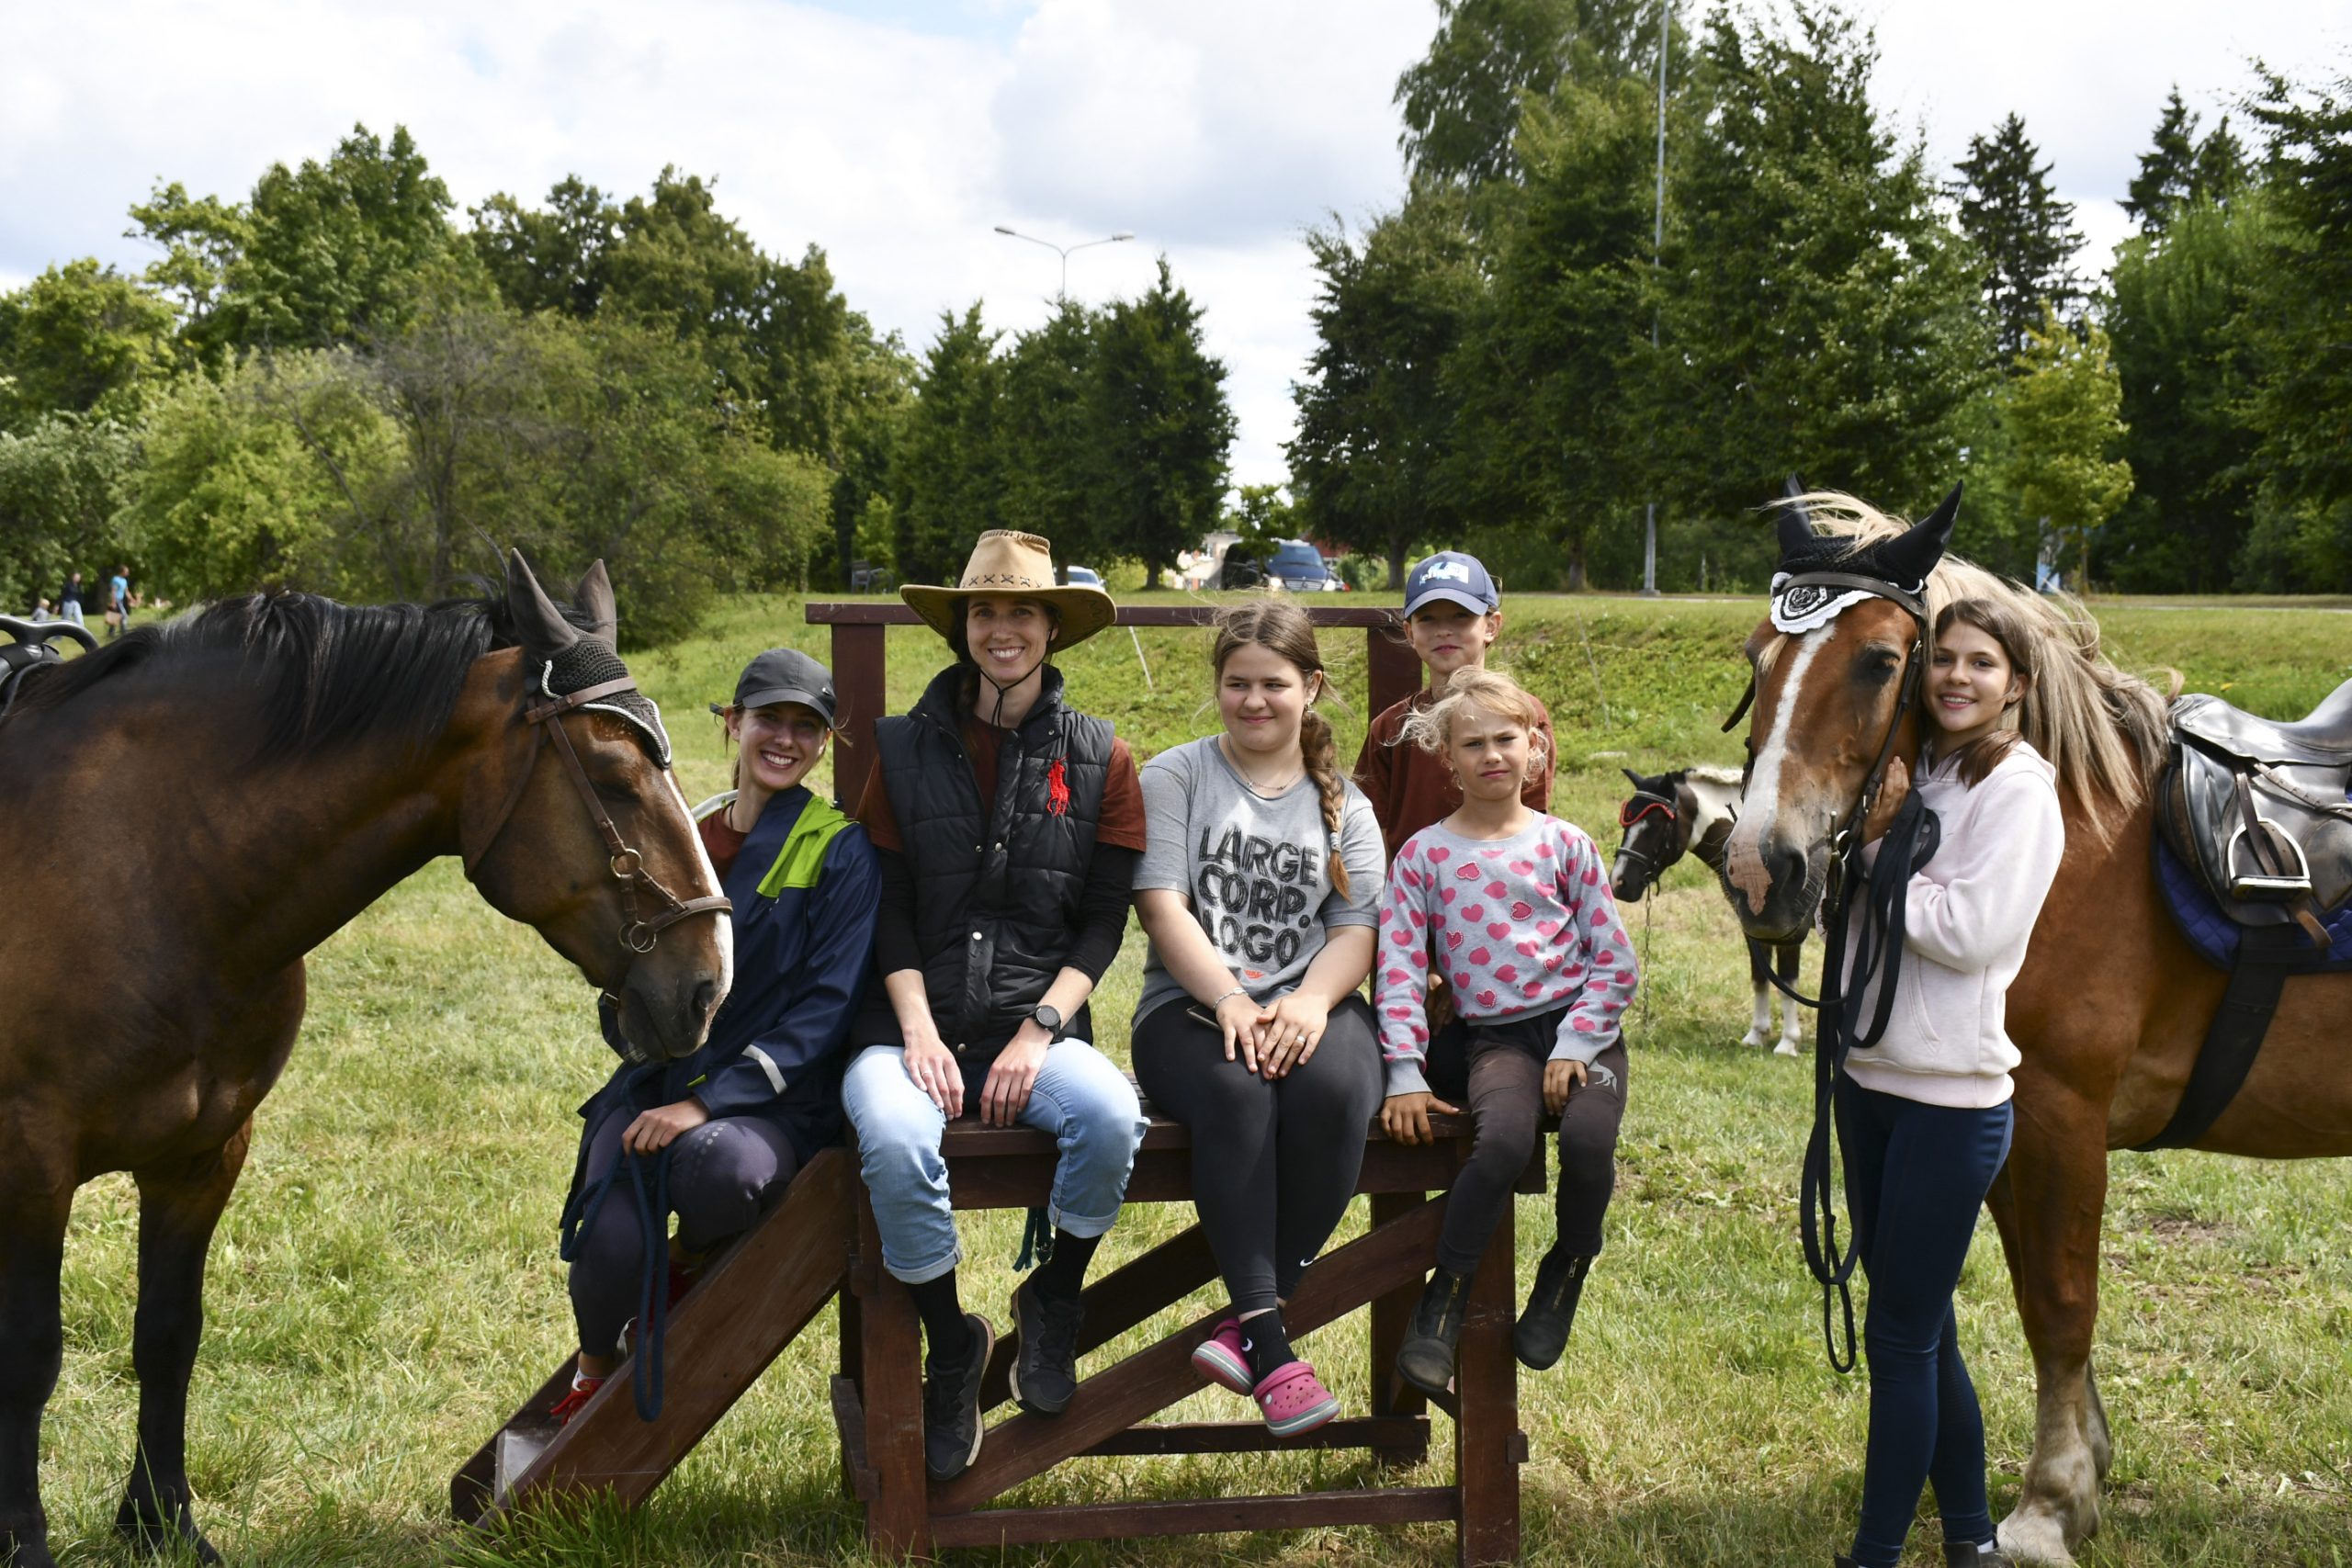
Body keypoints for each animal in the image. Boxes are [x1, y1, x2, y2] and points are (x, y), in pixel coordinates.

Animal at [0, 554, 733, 1568]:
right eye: (618, 776)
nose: (707, 983)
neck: (145, 868)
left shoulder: (202, 1156)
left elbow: (168, 1336)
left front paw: (163, 1521)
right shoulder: (33, 1162)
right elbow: (32, 1355)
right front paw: (24, 1540)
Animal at [1610, 765, 1806, 1054]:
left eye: (1655, 825)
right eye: (1626, 822)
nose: (1618, 882)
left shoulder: (1791, 931)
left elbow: (1787, 982)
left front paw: (1788, 1043)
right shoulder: (1753, 928)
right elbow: (1760, 977)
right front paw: (1757, 1034)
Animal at [1716, 492, 2352, 1565]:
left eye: (1879, 661)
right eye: (1759, 657)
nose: (1765, 868)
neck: (2082, 835)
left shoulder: (2061, 1114)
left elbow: (2060, 1306)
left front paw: (2049, 1503)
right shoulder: (2012, 1124)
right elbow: (2032, 1297)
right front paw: (2084, 1471)